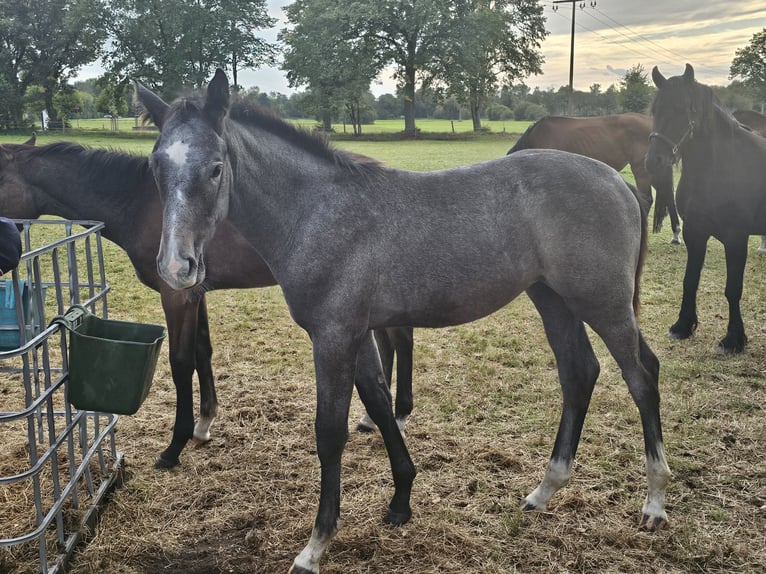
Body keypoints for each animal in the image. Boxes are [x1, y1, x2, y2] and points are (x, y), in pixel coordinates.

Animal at [0, 137, 414, 470]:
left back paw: (397, 414)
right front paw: (205, 423)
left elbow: (180, 362)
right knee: (391, 341)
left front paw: (174, 447)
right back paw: (374, 418)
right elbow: (203, 351)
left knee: (400, 339)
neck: (139, 202)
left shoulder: (176, 295)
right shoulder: (195, 294)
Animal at [648, 65, 766, 356]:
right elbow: (690, 280)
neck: (716, 168)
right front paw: (682, 326)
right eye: (655, 110)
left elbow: (733, 288)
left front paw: (733, 340)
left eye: (682, 108)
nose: (654, 161)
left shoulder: (736, 238)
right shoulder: (695, 233)